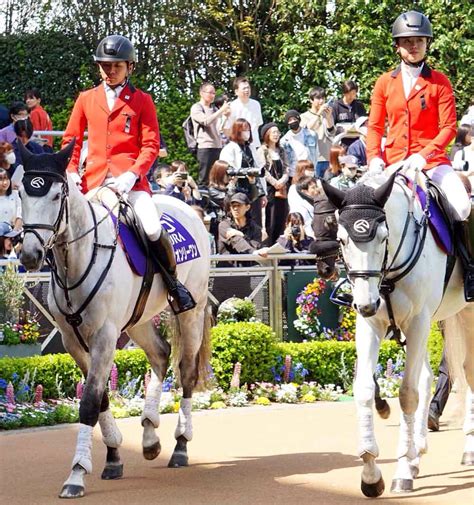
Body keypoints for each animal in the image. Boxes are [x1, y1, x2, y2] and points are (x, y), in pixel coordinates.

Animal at [17, 141, 211, 496]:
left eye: (56, 195)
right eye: (22, 192)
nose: (29, 255)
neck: (76, 259)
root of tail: (189, 207)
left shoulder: (105, 337)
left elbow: (90, 402)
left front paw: (77, 472)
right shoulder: (73, 341)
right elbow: (101, 397)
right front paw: (113, 456)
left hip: (191, 310)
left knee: (187, 372)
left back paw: (180, 445)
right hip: (139, 320)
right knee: (160, 354)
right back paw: (149, 436)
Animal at [322, 170, 474, 496]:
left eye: (383, 236)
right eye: (342, 239)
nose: (367, 303)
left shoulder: (417, 322)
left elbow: (407, 394)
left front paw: (403, 470)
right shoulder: (371, 325)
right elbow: (365, 389)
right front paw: (371, 473)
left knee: (467, 372)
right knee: (438, 376)